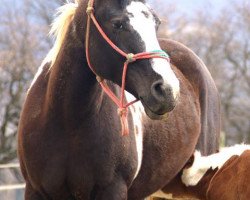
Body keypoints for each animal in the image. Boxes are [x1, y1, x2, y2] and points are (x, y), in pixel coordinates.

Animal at [18, 0, 221, 199]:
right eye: (118, 24)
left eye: (156, 23)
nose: (168, 90)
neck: (68, 122)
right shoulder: (34, 190)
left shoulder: (113, 189)